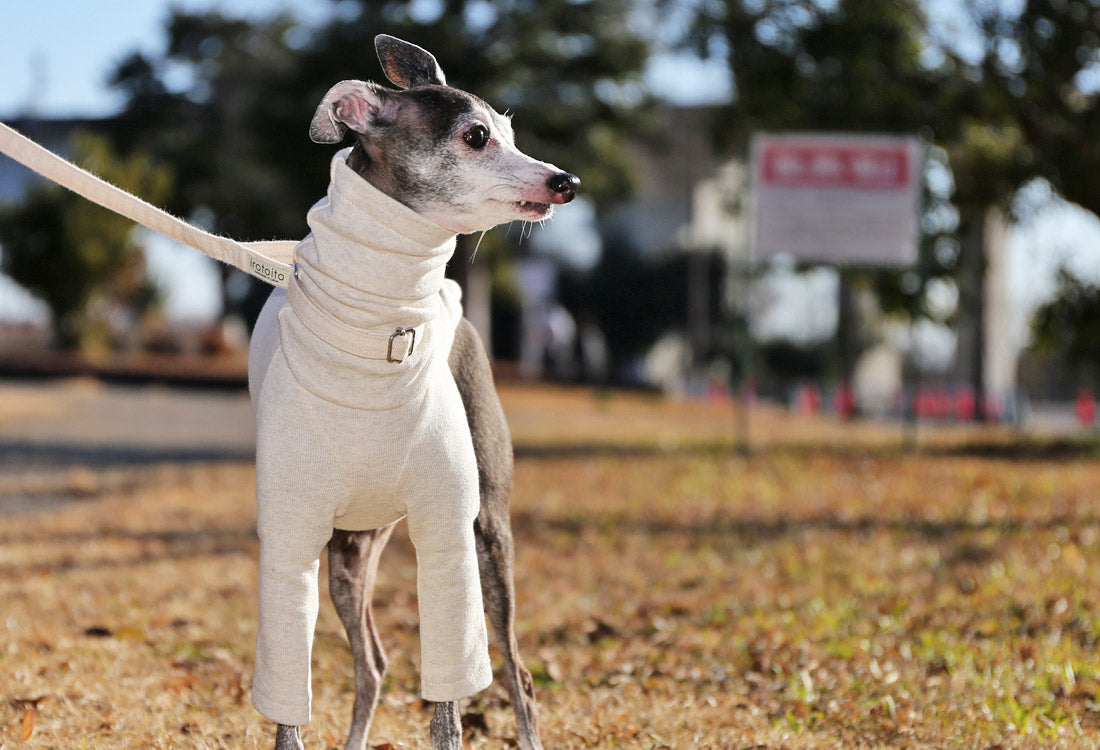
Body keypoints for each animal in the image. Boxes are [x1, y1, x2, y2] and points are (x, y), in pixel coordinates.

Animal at [246, 33, 580, 747]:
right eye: (476, 135)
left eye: (511, 130)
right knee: (372, 664)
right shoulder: (288, 540)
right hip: (349, 553)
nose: (565, 182)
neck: (379, 337)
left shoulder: (447, 530)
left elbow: (449, 710)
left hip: (488, 532)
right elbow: (288, 705)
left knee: (517, 673)